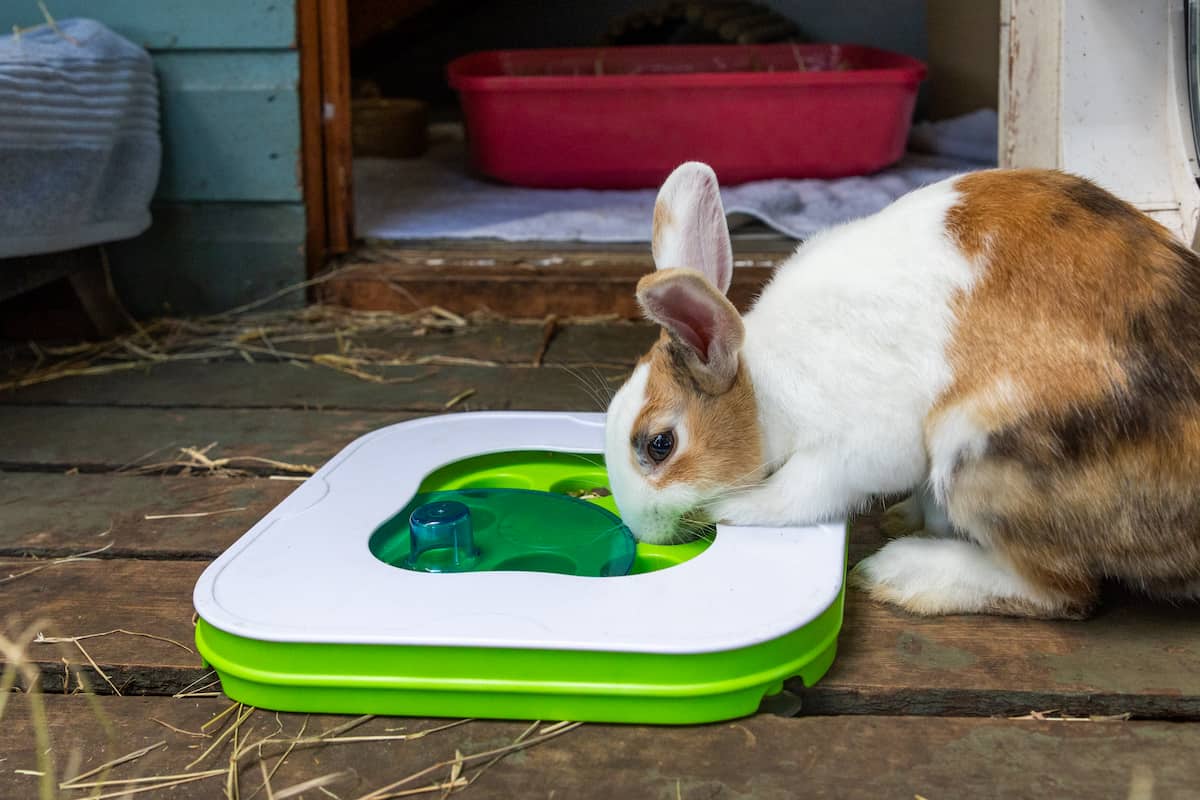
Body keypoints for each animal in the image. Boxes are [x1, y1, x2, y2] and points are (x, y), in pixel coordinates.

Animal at [603, 160, 1200, 619]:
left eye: (660, 444)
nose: (638, 529)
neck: (764, 386)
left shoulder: (850, 450)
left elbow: (795, 496)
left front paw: (731, 510)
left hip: (979, 448)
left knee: (1064, 592)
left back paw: (901, 573)